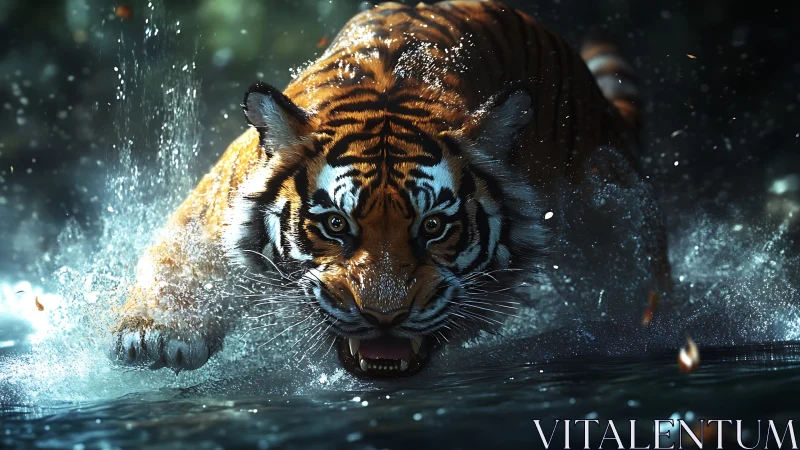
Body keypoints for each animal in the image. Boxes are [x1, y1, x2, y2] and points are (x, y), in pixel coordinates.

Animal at [109, 0, 671, 377]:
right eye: (335, 224)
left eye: (435, 226)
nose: (383, 319)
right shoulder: (211, 213)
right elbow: (177, 260)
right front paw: (150, 336)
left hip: (608, 187)